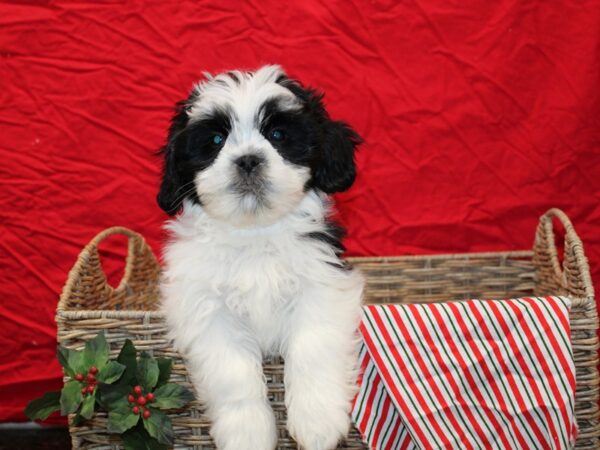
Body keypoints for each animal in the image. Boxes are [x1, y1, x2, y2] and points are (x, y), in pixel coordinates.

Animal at [157, 64, 364, 450]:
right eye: (215, 141)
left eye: (278, 134)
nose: (248, 160)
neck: (255, 232)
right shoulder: (207, 308)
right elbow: (232, 369)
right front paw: (247, 432)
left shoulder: (324, 284)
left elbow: (313, 345)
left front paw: (318, 422)